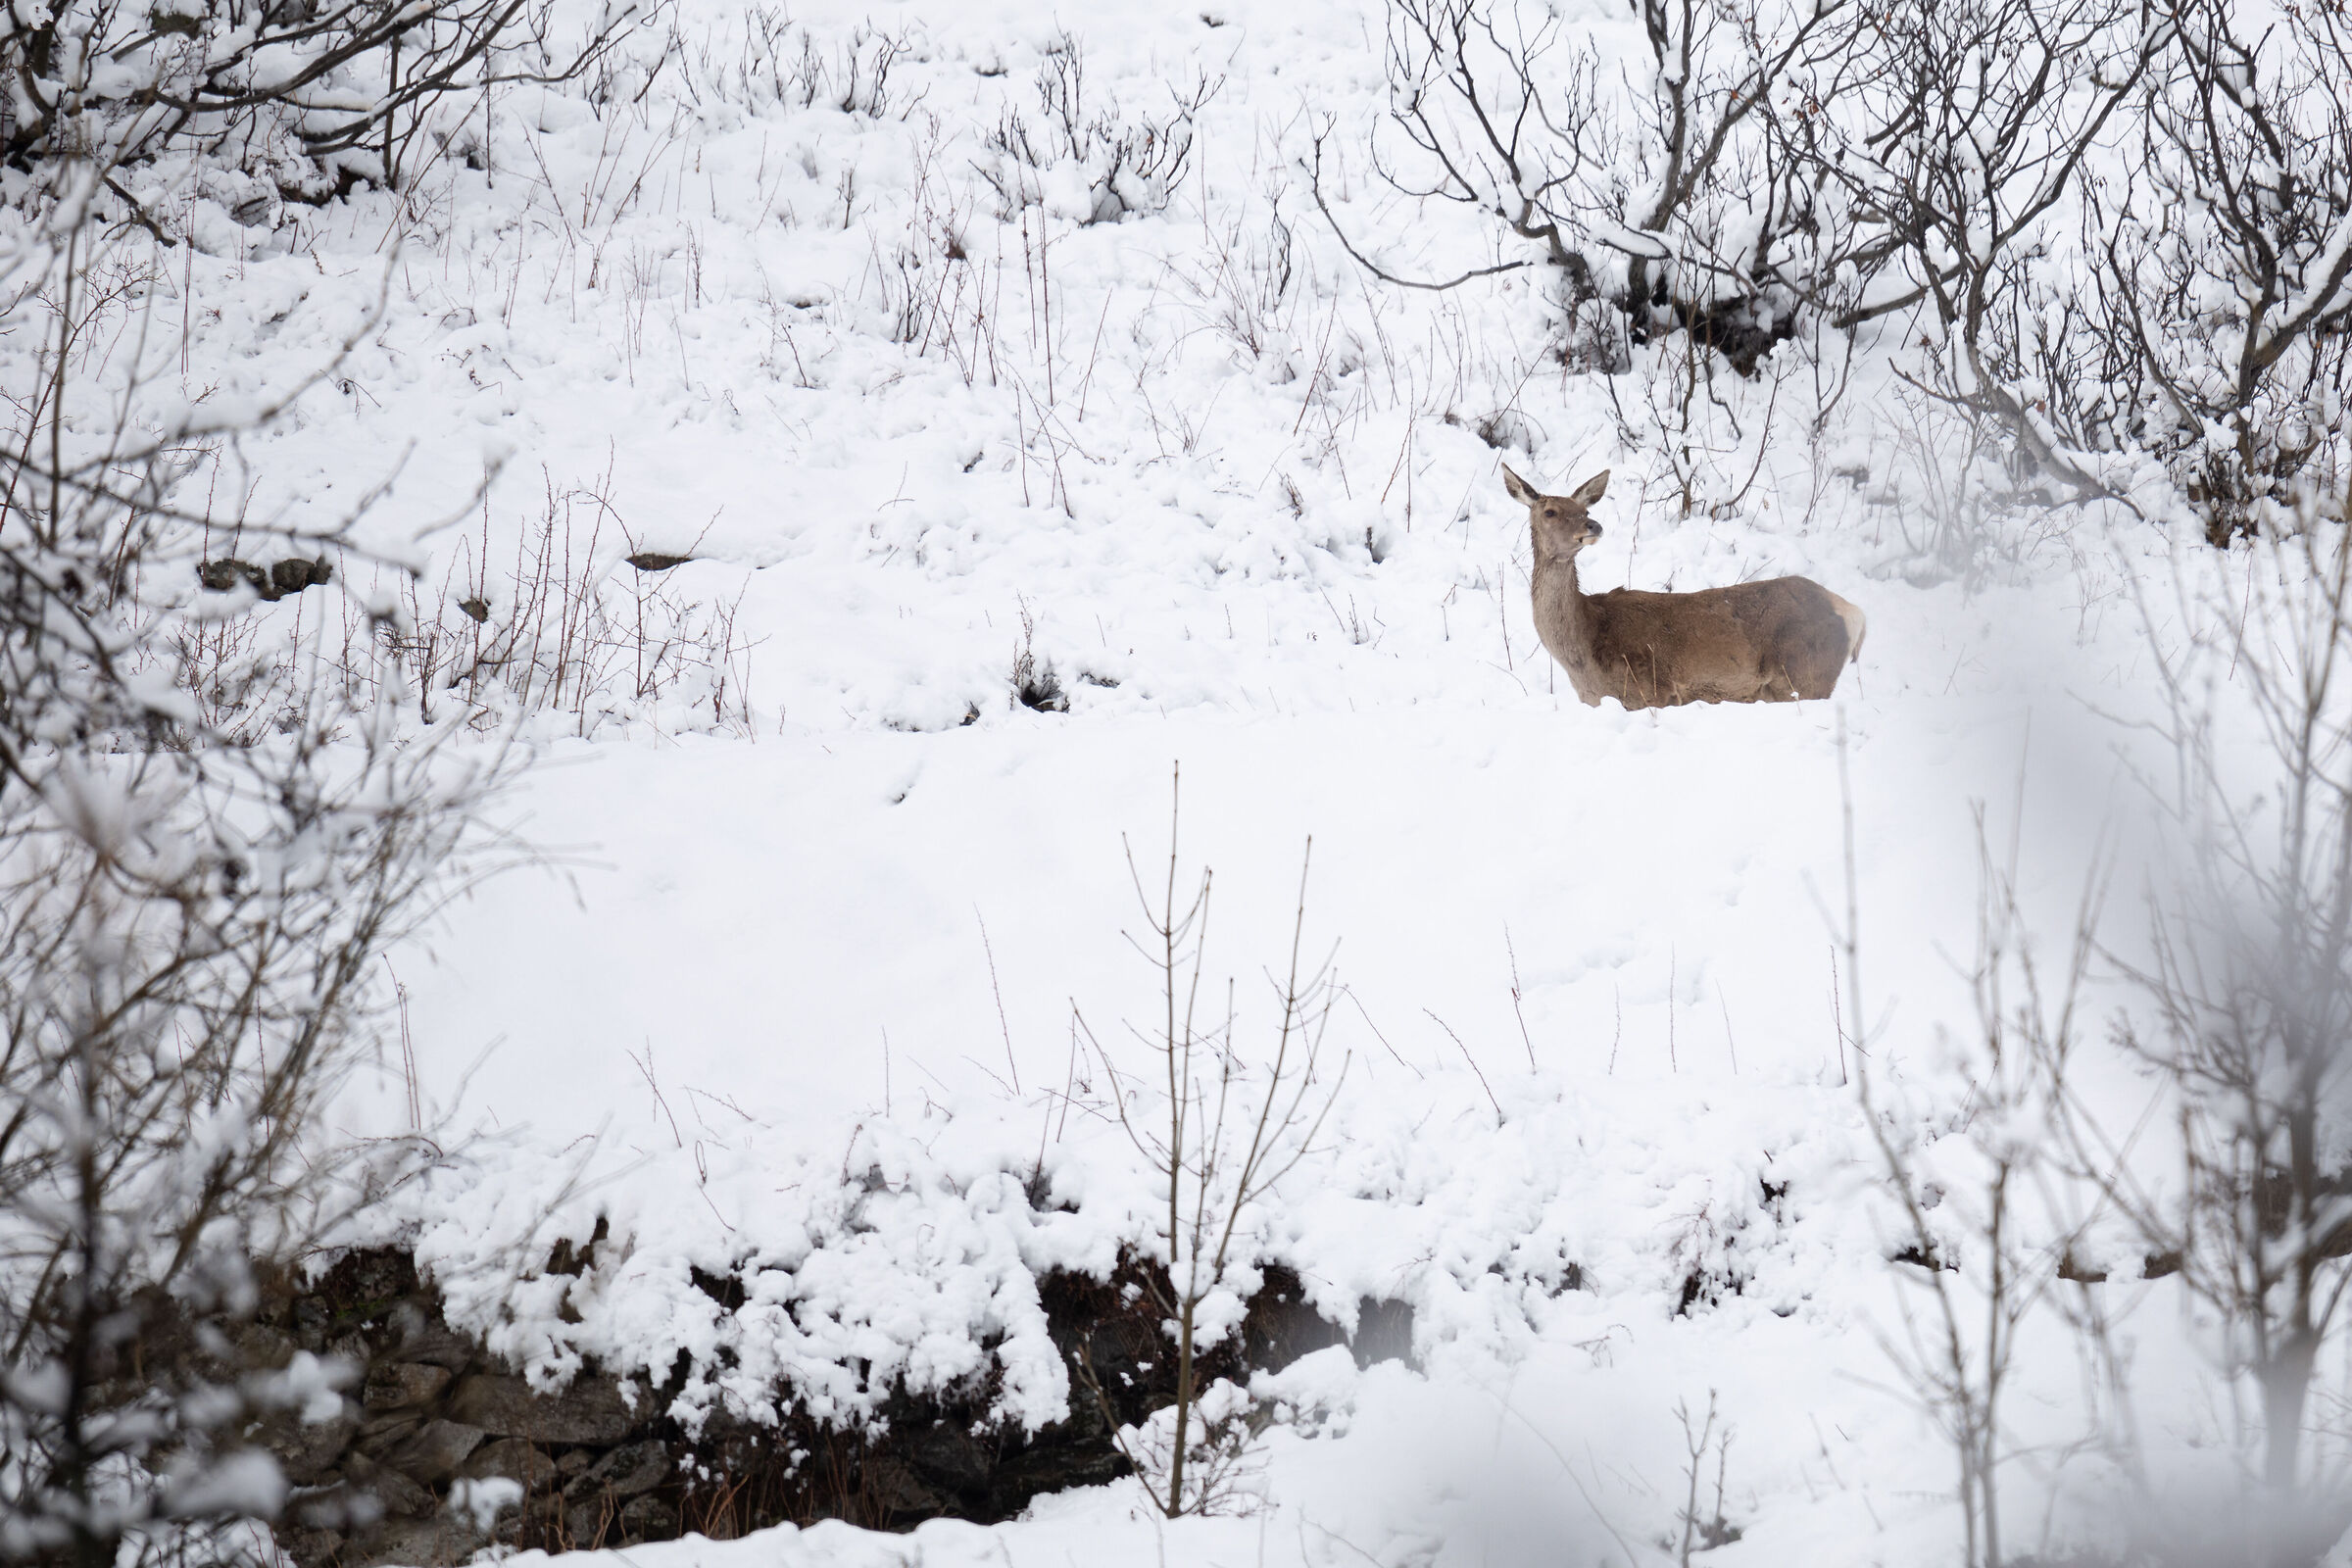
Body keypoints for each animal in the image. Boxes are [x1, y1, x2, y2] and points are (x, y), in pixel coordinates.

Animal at [1503, 465, 1866, 710]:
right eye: (1550, 511)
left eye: (1585, 509)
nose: (1593, 525)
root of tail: (1854, 613)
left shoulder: (1655, 691)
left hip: (1805, 677)